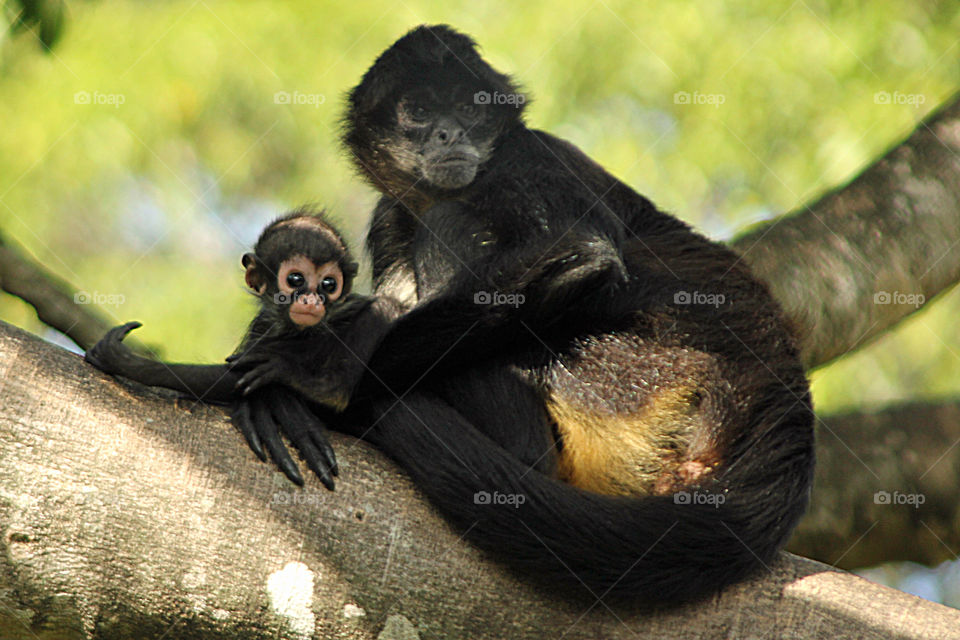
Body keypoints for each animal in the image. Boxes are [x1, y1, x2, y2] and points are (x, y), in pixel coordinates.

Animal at [226, 25, 815, 604]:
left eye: (469, 106)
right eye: (419, 109)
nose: (448, 134)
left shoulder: (527, 160)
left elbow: (583, 260)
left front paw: (319, 380)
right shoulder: (391, 214)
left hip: (632, 374)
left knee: (449, 219)